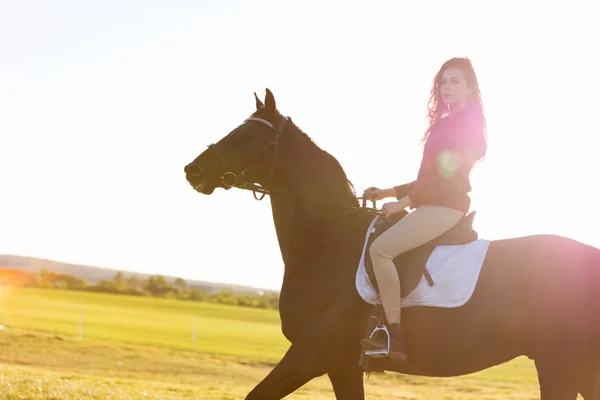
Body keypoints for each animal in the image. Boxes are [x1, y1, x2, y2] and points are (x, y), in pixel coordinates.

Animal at [185, 89, 600, 398]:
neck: (327, 245)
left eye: (248, 135)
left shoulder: (314, 354)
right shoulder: (340, 366)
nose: (194, 169)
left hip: (561, 367)